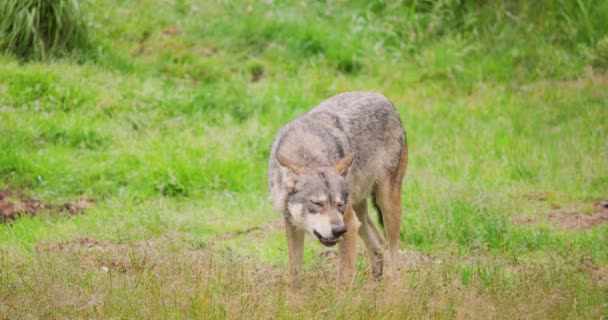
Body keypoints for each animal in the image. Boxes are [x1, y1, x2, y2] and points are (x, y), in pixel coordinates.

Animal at [268, 90, 406, 288]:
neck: (306, 154)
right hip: (359, 215)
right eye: (317, 203)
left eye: (339, 204)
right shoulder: (292, 225)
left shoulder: (348, 225)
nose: (338, 231)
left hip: (384, 207)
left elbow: (343, 279)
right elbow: (294, 276)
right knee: (379, 244)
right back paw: (374, 287)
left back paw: (394, 289)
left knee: (394, 253)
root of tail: (382, 97)